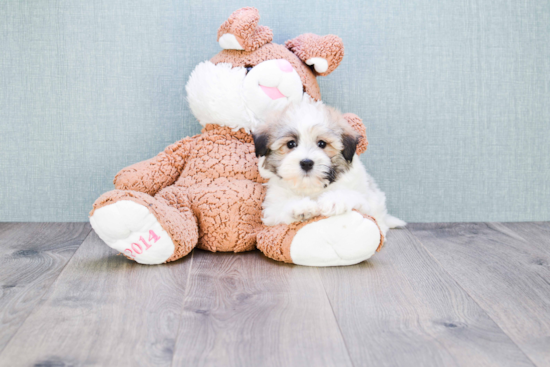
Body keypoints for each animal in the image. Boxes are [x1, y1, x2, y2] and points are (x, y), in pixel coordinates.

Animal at [253, 98, 406, 236]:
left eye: (322, 144)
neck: (312, 188)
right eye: (291, 144)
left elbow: (351, 195)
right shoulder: (272, 209)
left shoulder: (364, 200)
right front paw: (301, 207)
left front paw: (334, 201)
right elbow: (281, 207)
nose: (306, 163)